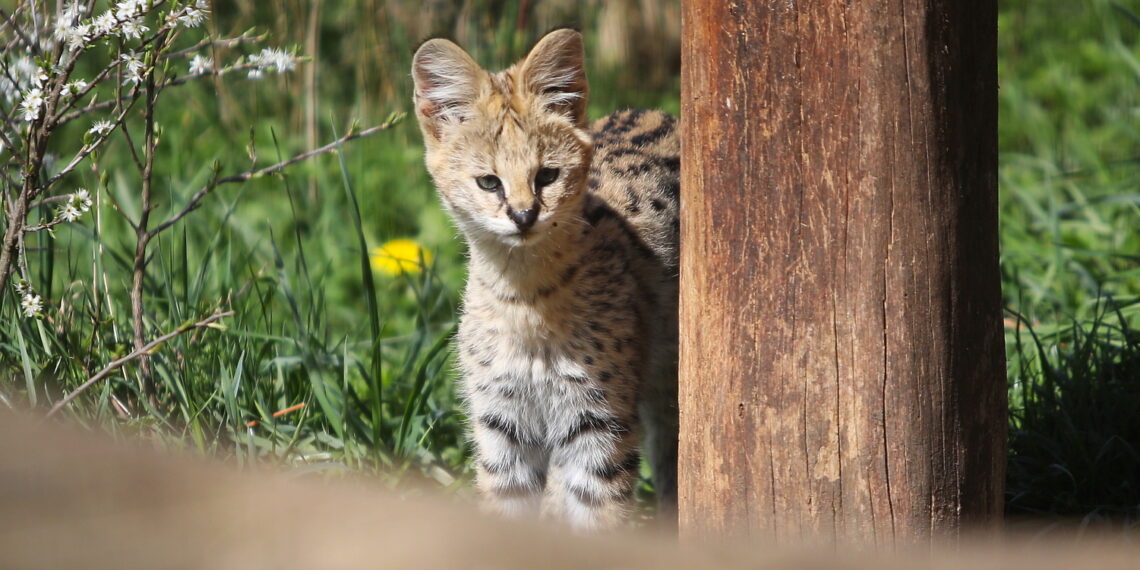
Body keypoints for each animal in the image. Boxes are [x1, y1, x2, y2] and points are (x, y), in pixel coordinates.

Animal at [410, 30, 674, 528]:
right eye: (489, 182)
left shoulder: (599, 422)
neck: (524, 297)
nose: (523, 215)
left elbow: (598, 516)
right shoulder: (503, 422)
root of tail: (656, 112)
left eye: (547, 175)